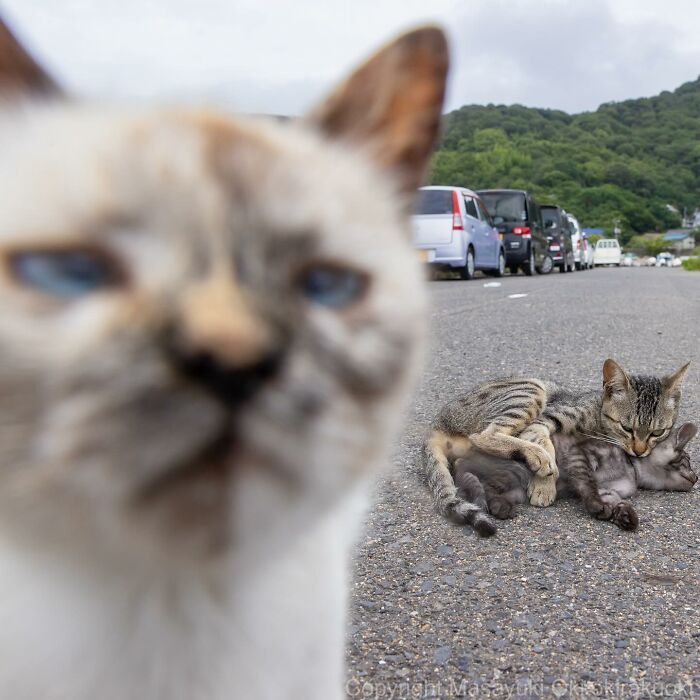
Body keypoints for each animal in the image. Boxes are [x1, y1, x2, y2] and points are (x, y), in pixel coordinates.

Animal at [454, 422, 696, 532]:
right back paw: (500, 506)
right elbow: (587, 484)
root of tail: (462, 459)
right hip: (517, 469)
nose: (696, 478)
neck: (633, 469)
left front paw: (625, 515)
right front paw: (596, 506)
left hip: (517, 490)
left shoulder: (611, 491)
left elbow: (616, 501)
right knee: (487, 487)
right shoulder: (580, 455)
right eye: (688, 462)